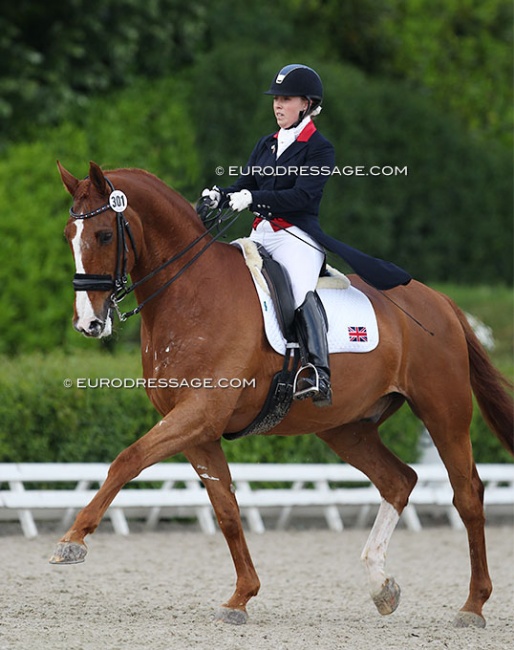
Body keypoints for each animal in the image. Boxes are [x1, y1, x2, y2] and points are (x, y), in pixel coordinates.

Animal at [53, 159, 512, 624]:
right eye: (68, 235)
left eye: (104, 235)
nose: (89, 323)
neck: (190, 293)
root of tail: (439, 300)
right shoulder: (197, 428)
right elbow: (226, 508)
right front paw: (241, 596)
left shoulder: (199, 412)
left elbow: (126, 460)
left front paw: (72, 541)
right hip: (346, 428)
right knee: (399, 480)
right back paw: (381, 584)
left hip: (443, 413)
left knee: (467, 495)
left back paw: (473, 605)